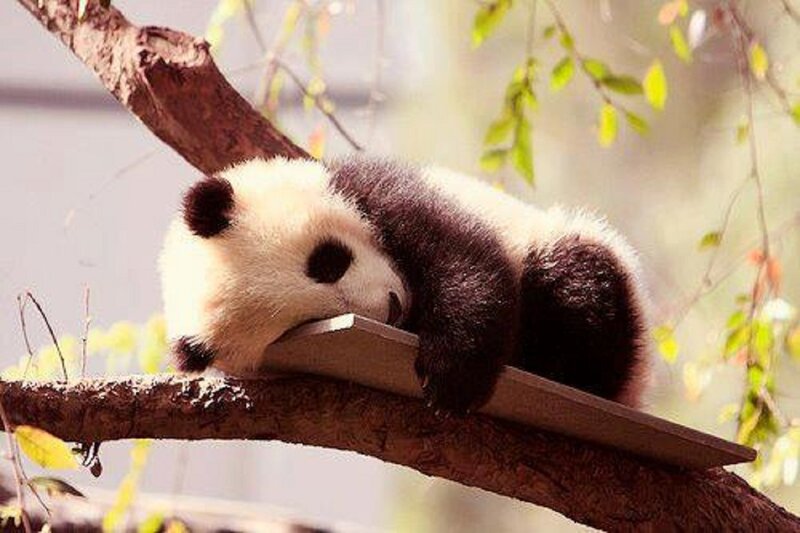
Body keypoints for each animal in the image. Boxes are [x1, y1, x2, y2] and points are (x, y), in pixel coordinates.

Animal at [159, 155, 649, 413]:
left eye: (327, 262)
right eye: (309, 323)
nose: (392, 309)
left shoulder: (378, 190)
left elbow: (463, 258)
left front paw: (452, 377)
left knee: (578, 287)